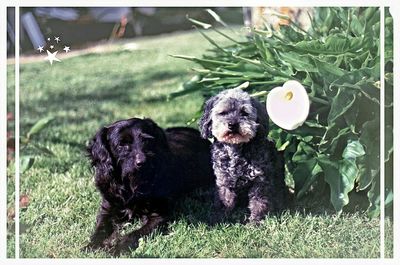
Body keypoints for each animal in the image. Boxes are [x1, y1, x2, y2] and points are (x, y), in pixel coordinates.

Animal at [84, 117, 214, 254]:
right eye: (121, 144)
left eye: (146, 140)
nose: (143, 162)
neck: (132, 186)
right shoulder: (107, 210)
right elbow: (100, 230)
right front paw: (92, 245)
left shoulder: (158, 215)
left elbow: (134, 233)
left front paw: (118, 248)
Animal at [199, 87, 288, 223]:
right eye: (223, 113)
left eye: (244, 113)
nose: (232, 124)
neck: (236, 150)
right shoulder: (224, 181)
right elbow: (223, 201)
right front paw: (219, 219)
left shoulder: (260, 181)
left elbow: (259, 203)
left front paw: (256, 221)